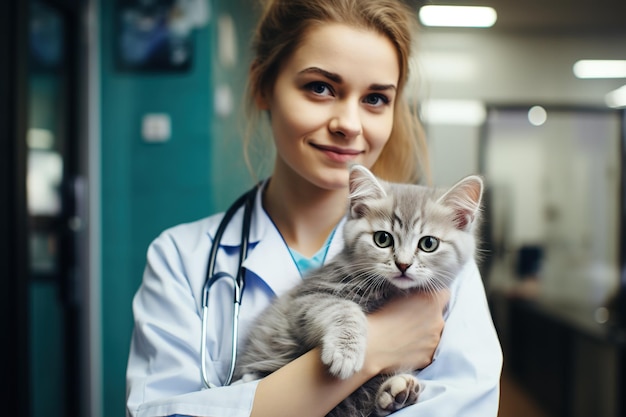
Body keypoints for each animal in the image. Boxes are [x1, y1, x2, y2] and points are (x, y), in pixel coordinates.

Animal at [234, 164, 482, 414]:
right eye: (383, 239)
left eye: (428, 244)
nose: (403, 265)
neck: (391, 290)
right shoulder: (309, 296)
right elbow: (344, 309)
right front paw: (345, 352)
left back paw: (397, 392)